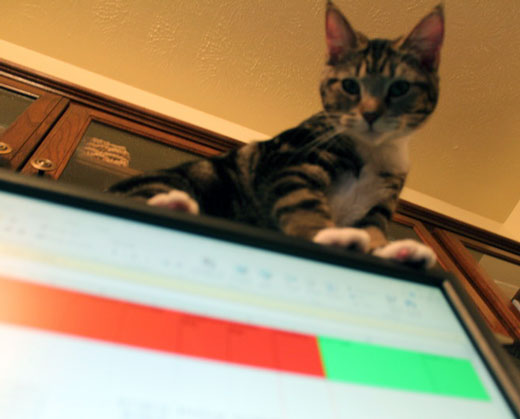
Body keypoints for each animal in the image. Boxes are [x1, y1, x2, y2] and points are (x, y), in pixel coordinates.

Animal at [109, 1, 444, 268]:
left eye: (399, 88)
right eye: (350, 85)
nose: (371, 114)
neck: (372, 153)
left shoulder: (379, 205)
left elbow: (373, 232)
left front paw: (394, 251)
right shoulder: (291, 163)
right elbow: (302, 202)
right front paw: (329, 236)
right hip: (188, 178)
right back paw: (178, 206)